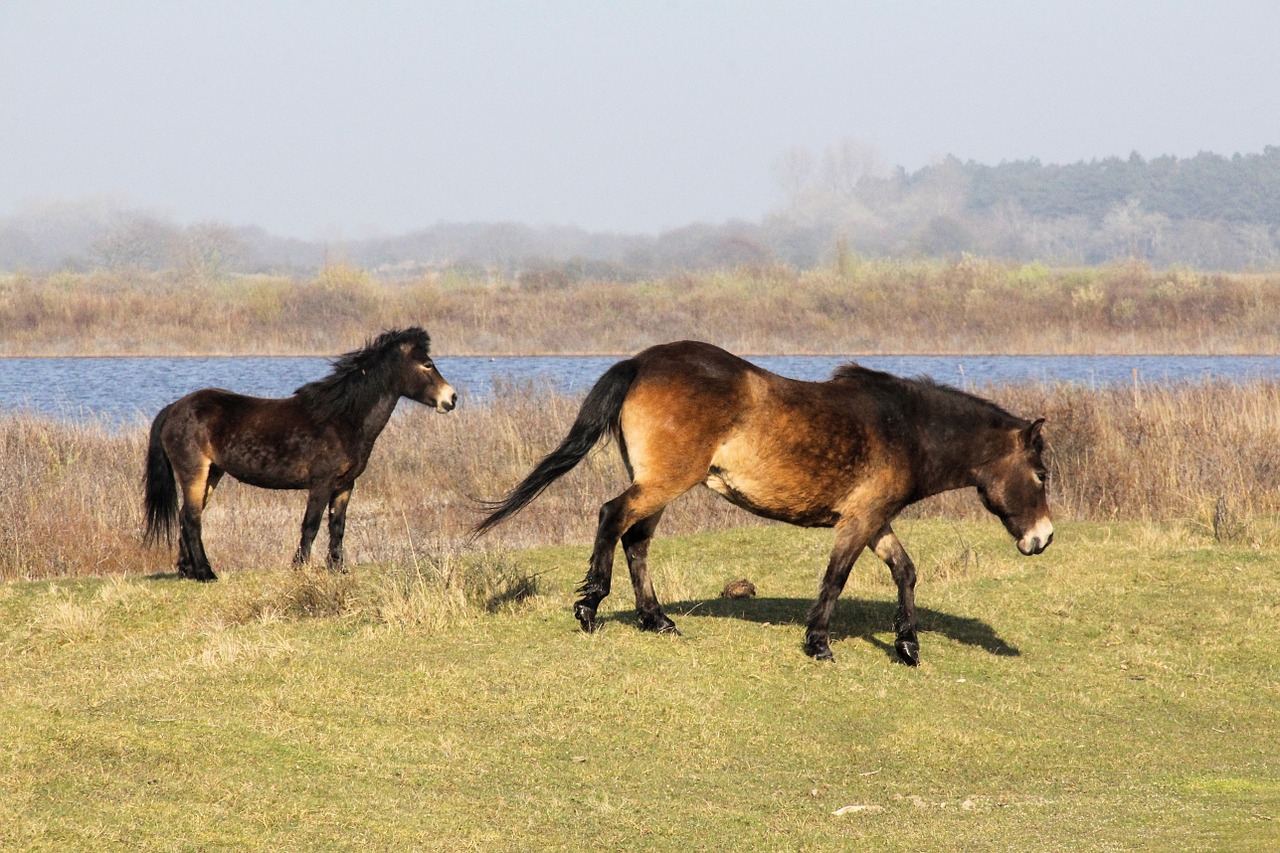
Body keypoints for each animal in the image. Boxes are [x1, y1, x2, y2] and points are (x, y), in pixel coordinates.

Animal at [144, 325, 455, 578]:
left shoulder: (345, 485)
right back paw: (205, 573)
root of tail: (174, 408)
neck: (342, 418)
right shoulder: (321, 484)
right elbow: (311, 525)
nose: (451, 398)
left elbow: (337, 526)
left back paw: (187, 570)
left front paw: (337, 568)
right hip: (195, 473)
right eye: (427, 365)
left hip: (212, 474)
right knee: (191, 519)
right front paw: (300, 567)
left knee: (186, 516)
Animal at [476, 338, 1054, 666]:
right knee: (612, 516)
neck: (906, 428)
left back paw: (656, 620)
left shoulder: (872, 519)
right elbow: (836, 578)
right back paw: (590, 606)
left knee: (636, 540)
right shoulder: (860, 521)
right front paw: (819, 644)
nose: (1043, 538)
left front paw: (907, 646)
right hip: (665, 482)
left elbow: (905, 571)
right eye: (1042, 473)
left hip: (661, 484)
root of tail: (640, 363)